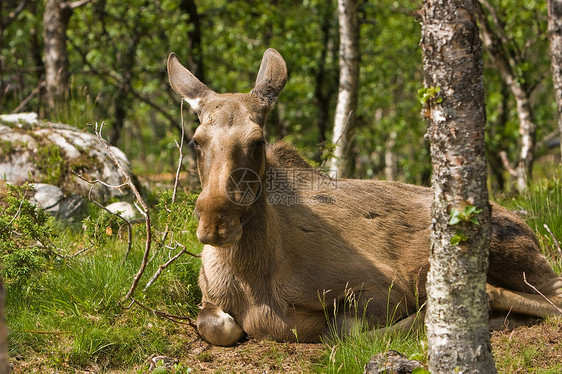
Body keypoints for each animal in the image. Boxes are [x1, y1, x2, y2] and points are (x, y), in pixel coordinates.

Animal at [166, 48, 560, 346]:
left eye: (258, 140)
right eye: (195, 141)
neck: (251, 275)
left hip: (503, 251)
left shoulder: (382, 289)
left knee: (539, 294)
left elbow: (342, 330)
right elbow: (217, 325)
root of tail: (530, 229)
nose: (216, 222)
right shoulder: (210, 299)